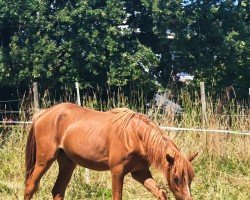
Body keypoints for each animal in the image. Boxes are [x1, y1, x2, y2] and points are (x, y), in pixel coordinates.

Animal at [24, 102, 197, 199]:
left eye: (190, 178)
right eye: (176, 178)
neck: (134, 136)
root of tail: (44, 113)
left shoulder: (140, 173)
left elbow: (160, 193)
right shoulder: (117, 172)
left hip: (67, 163)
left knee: (58, 191)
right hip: (44, 160)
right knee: (30, 187)